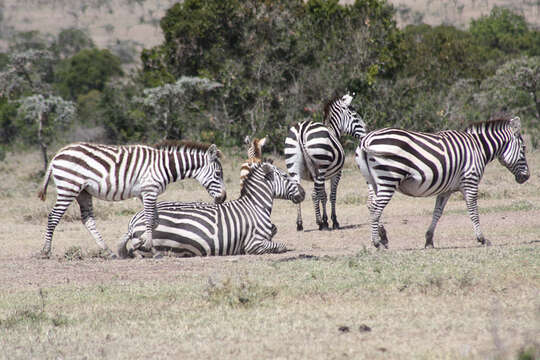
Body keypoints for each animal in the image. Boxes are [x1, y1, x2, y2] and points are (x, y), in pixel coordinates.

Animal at [35, 139, 226, 258]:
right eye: (218, 174)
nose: (223, 198)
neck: (164, 165)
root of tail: (57, 155)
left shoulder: (144, 193)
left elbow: (155, 220)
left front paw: (141, 245)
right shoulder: (149, 190)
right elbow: (149, 219)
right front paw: (148, 247)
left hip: (83, 192)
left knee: (88, 220)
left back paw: (108, 252)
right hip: (69, 187)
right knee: (54, 217)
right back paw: (45, 251)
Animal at [117, 162, 304, 258]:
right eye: (285, 176)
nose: (303, 193)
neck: (256, 206)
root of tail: (134, 222)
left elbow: (275, 232)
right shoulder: (254, 243)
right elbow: (281, 246)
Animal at [282, 93, 368, 231]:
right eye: (355, 116)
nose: (367, 131)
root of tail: (301, 130)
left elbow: (322, 195)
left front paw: (325, 219)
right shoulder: (337, 174)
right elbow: (331, 195)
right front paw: (332, 221)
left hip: (294, 167)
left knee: (301, 191)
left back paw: (300, 224)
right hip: (321, 166)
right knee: (316, 192)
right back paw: (320, 223)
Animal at [356, 116, 528, 249]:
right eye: (524, 149)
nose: (527, 177)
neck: (478, 147)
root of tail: (367, 139)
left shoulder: (446, 190)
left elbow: (437, 213)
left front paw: (429, 240)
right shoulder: (470, 181)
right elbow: (473, 211)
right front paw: (482, 239)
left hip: (371, 181)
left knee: (371, 205)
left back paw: (382, 237)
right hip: (389, 178)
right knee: (377, 208)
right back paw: (377, 242)